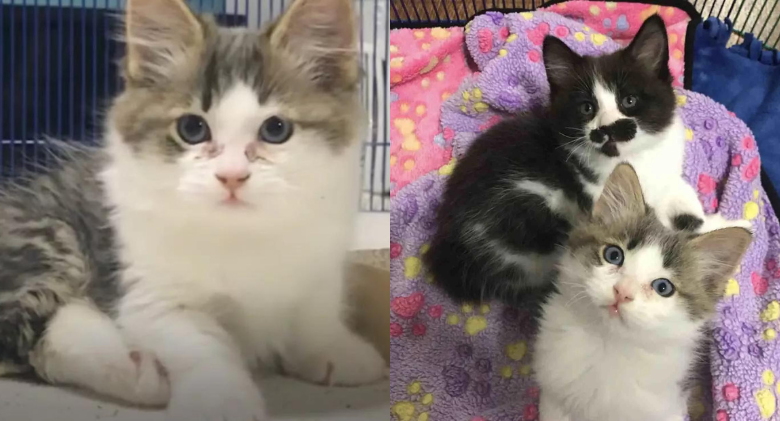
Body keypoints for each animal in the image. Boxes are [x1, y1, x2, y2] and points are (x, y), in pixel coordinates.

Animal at [0, 0, 386, 416]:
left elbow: (315, 311)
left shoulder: (322, 263)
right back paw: (136, 371)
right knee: (31, 338)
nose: (232, 176)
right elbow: (204, 344)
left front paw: (334, 349)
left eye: (276, 129)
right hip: (51, 238)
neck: (246, 233)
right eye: (192, 129)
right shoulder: (154, 295)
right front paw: (224, 400)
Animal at [424, 15, 736, 302]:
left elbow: (684, 198)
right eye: (587, 108)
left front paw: (709, 220)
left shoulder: (667, 172)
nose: (606, 129)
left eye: (629, 101)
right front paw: (726, 228)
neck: (638, 158)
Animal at [532, 163, 752, 420]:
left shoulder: (667, 405)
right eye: (613, 255)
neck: (610, 346)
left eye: (663, 287)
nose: (622, 291)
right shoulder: (554, 393)